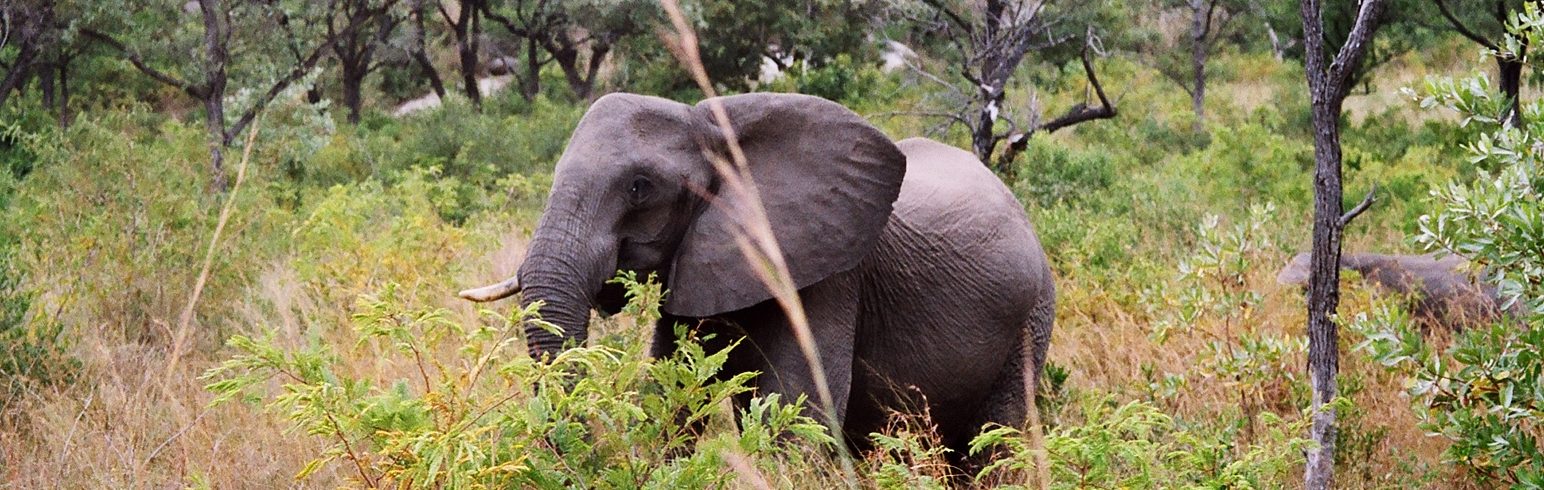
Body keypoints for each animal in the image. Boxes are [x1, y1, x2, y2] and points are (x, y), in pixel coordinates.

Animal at [460, 92, 1062, 460]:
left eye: (639, 187)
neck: (713, 126)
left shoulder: (829, 274)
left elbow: (795, 408)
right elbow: (673, 391)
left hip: (1031, 317)